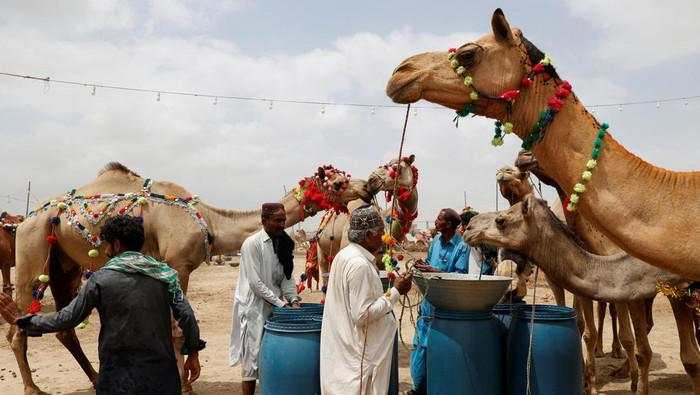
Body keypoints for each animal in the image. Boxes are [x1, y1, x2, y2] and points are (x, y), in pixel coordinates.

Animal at [8, 162, 370, 395]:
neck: (209, 220)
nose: (368, 186)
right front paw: (185, 386)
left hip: (64, 264)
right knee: (19, 325)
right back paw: (33, 388)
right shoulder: (177, 265)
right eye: (338, 183)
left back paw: (96, 380)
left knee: (64, 328)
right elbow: (177, 330)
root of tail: (25, 219)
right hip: (31, 249)